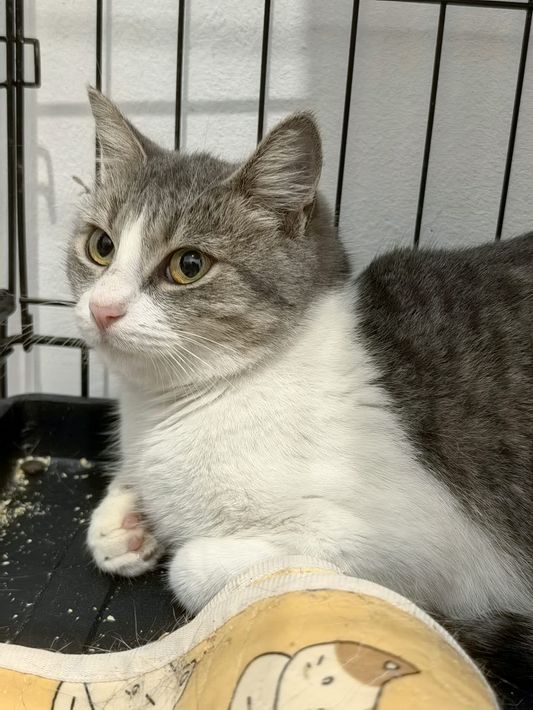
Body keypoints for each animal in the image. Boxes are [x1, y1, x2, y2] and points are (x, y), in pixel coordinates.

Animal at [68, 87, 533, 705]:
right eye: (101, 246)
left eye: (189, 265)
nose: (103, 308)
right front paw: (126, 524)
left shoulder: (412, 547)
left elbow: (197, 566)